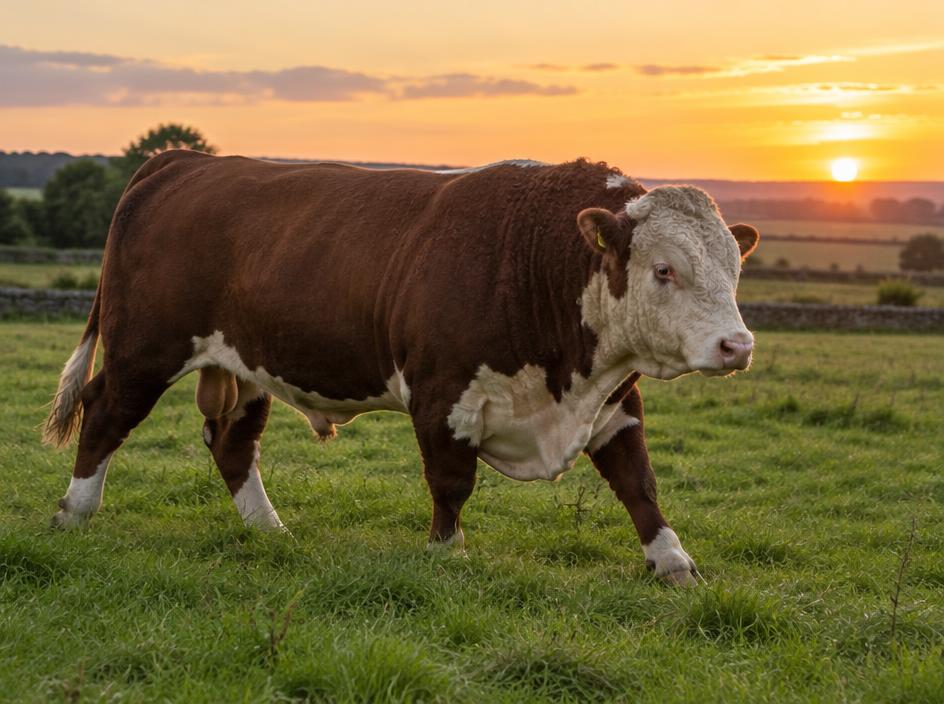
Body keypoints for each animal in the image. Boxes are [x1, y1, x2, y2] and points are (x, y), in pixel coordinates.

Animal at [43, 153, 758, 586]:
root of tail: (185, 160)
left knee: (232, 443)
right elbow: (451, 482)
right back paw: (75, 511)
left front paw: (673, 561)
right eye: (664, 269)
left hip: (243, 365)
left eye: (734, 268)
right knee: (104, 412)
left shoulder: (612, 403)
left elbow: (639, 483)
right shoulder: (442, 396)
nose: (737, 345)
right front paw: (447, 552)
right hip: (144, 348)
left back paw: (270, 530)